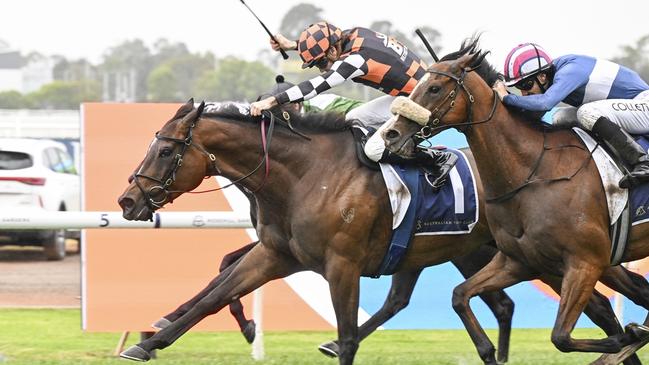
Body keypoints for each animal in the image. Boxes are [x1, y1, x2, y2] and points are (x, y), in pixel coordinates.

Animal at [116, 98, 644, 362]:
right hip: (480, 254)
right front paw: (146, 343)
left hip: (550, 257)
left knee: (597, 305)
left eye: (166, 150)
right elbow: (212, 295)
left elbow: (349, 335)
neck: (307, 175)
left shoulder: (341, 265)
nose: (127, 201)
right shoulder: (275, 254)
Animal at [382, 38, 649, 362]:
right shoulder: (518, 262)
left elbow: (562, 336)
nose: (391, 134)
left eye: (434, 88)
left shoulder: (584, 262)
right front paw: (488, 351)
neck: (533, 172)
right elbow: (460, 296)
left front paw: (627, 336)